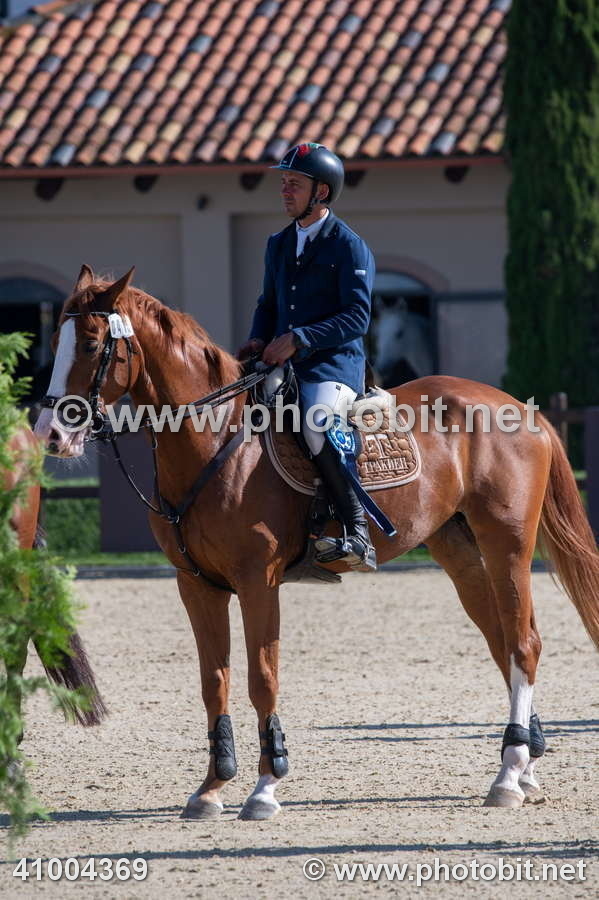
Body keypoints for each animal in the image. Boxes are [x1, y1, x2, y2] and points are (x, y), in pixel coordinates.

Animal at [34, 264, 599, 819]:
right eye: (56, 339)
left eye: (91, 343)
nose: (51, 435)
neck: (216, 439)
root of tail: (518, 407)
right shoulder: (197, 585)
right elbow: (214, 680)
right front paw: (212, 787)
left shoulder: (257, 581)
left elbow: (262, 676)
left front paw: (265, 786)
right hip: (459, 551)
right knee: (503, 643)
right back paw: (525, 766)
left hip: (507, 544)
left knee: (523, 644)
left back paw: (507, 775)